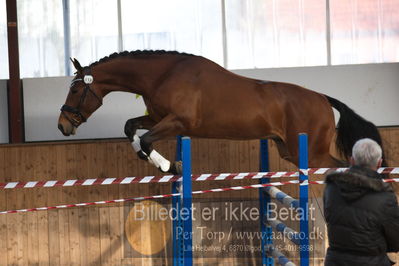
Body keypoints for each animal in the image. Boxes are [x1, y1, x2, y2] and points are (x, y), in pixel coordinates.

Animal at [57, 50, 386, 175]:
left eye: (74, 90)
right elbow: (130, 128)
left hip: (312, 154)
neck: (162, 75)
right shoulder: (158, 118)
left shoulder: (177, 122)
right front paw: (163, 164)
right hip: (289, 151)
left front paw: (169, 166)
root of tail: (323, 99)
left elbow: (147, 139)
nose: (63, 125)